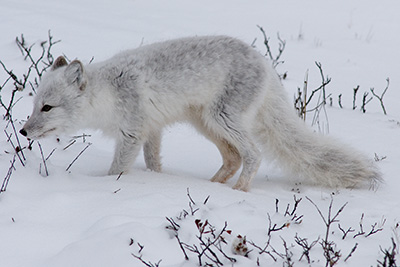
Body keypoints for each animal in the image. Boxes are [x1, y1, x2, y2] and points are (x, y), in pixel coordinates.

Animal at [19, 36, 382, 191]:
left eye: (47, 107)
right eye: (34, 106)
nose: (22, 132)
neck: (108, 93)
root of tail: (265, 63)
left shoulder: (132, 132)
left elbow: (116, 171)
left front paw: (111, 186)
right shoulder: (152, 130)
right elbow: (153, 163)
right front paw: (156, 181)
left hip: (223, 119)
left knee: (253, 154)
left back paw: (237, 192)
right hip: (206, 124)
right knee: (233, 158)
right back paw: (212, 186)